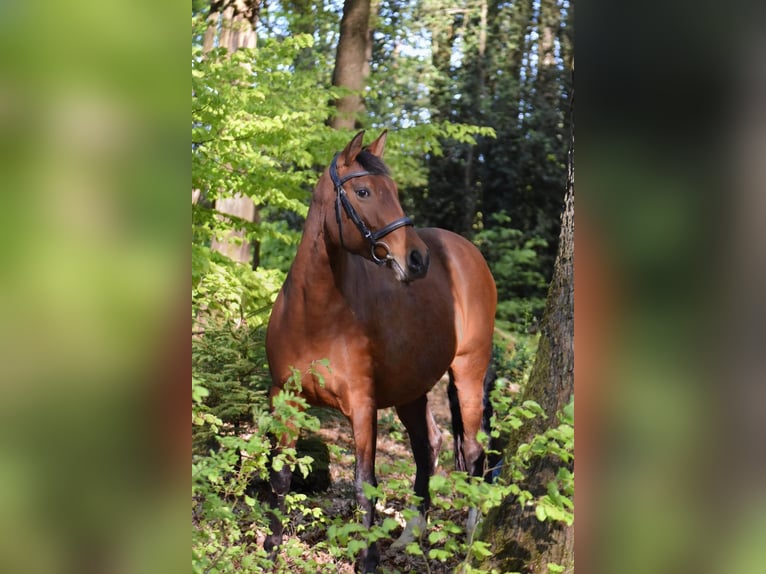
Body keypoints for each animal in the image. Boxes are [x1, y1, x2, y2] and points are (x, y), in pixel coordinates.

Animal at [264, 130, 497, 572]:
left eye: (395, 192)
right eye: (363, 191)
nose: (418, 259)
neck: (315, 314)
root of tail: (469, 252)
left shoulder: (362, 406)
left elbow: (364, 482)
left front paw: (367, 558)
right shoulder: (285, 399)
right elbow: (280, 474)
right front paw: (269, 548)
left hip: (468, 374)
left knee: (475, 452)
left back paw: (469, 544)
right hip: (412, 389)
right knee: (429, 446)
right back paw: (410, 535)